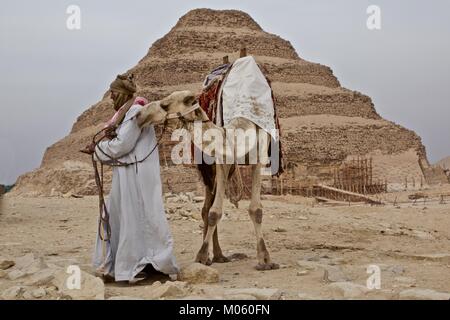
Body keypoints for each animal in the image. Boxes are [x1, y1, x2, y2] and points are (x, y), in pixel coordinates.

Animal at [135, 89, 280, 270]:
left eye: (165, 105)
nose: (139, 115)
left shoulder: (257, 159)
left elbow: (255, 210)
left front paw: (265, 259)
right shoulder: (221, 163)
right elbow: (214, 212)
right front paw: (202, 256)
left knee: (207, 207)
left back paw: (219, 256)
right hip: (209, 172)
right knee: (206, 209)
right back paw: (215, 256)